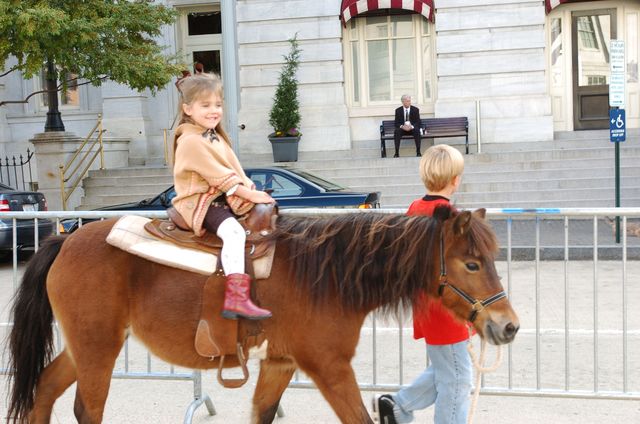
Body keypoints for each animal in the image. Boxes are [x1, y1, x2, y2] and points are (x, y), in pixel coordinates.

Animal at [6, 209, 520, 424]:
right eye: (472, 264)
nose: (508, 325)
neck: (326, 273)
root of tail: (64, 239)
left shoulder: (281, 363)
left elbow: (264, 413)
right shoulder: (329, 367)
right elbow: (358, 418)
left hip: (86, 348)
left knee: (43, 392)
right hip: (98, 348)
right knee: (86, 409)